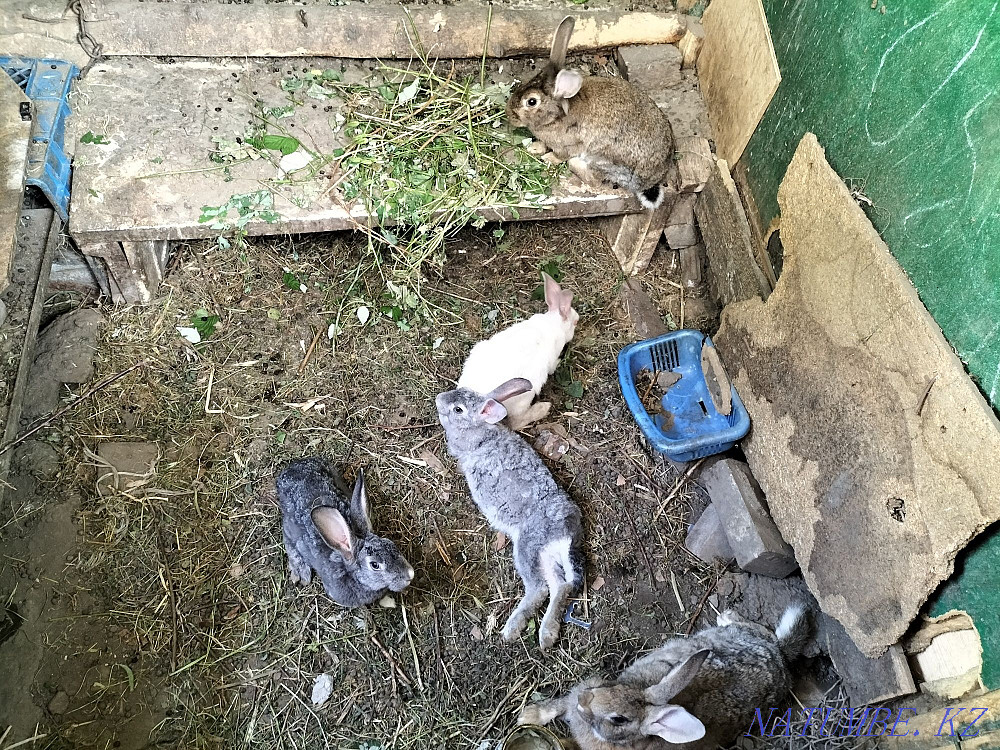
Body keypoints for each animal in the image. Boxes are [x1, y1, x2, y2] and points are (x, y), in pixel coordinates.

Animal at [435, 378, 585, 650]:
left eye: (458, 409)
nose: (439, 399)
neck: (483, 428)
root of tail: (566, 533)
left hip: (526, 547)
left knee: (539, 589)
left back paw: (512, 629)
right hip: (545, 556)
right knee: (561, 586)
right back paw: (547, 634)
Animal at [457, 272, 578, 430]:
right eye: (575, 322)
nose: (578, 321)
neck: (553, 322)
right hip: (524, 394)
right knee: (516, 421)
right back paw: (543, 408)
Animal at [507, 16, 679, 210]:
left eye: (531, 101)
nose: (509, 114)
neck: (556, 115)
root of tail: (652, 180)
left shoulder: (568, 145)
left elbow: (560, 155)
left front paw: (548, 158)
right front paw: (534, 147)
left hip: (603, 158)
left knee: (594, 179)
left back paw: (575, 164)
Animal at [517, 605, 810, 749]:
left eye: (619, 719)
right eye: (613, 686)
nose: (584, 701)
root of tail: (777, 656)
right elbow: (554, 706)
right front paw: (527, 715)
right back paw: (727, 616)